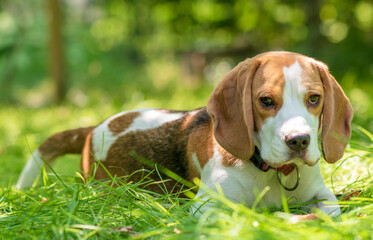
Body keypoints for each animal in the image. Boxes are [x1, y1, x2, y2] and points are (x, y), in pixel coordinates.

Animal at [15, 51, 352, 217]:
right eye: (266, 101)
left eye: (314, 99)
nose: (299, 141)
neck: (272, 173)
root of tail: (94, 128)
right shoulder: (209, 207)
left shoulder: (322, 195)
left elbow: (331, 208)